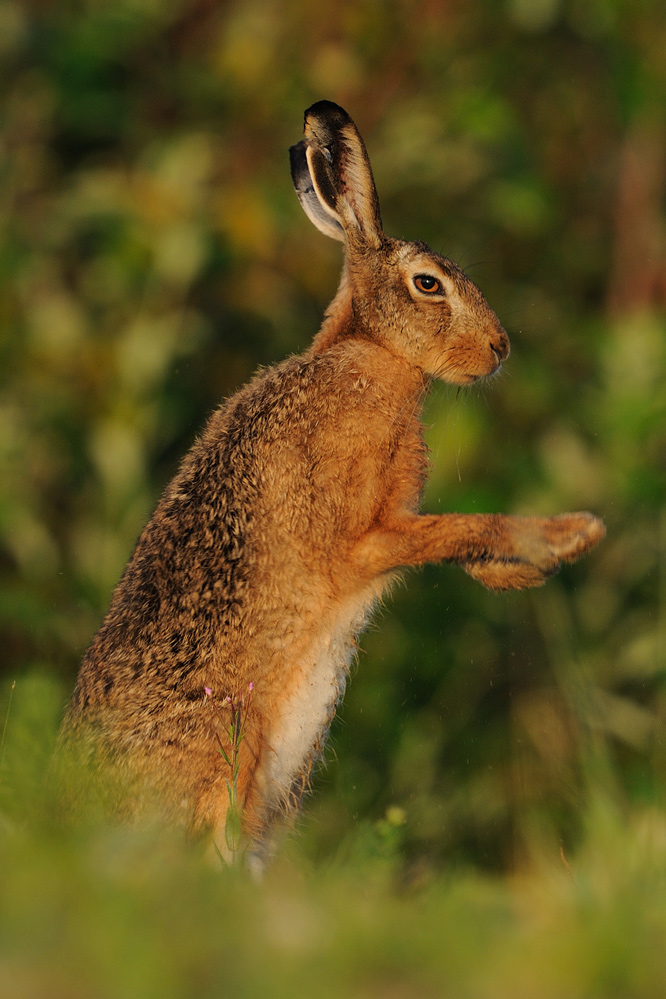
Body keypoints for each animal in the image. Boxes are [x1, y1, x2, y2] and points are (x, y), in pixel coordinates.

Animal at [58, 100, 605, 871]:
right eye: (429, 284)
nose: (499, 350)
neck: (371, 355)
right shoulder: (362, 537)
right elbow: (459, 527)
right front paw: (566, 537)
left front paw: (525, 570)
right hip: (222, 750)